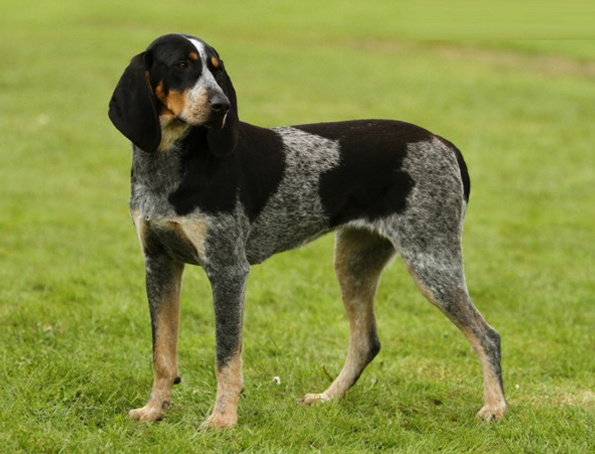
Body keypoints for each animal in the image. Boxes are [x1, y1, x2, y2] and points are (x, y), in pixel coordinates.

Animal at [108, 33, 508, 428]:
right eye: (181, 65)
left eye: (217, 70)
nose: (222, 105)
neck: (170, 164)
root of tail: (446, 143)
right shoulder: (159, 264)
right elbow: (163, 353)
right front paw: (154, 410)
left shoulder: (227, 270)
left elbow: (226, 357)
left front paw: (222, 419)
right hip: (353, 262)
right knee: (366, 341)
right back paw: (328, 398)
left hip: (432, 263)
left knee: (487, 335)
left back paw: (495, 407)